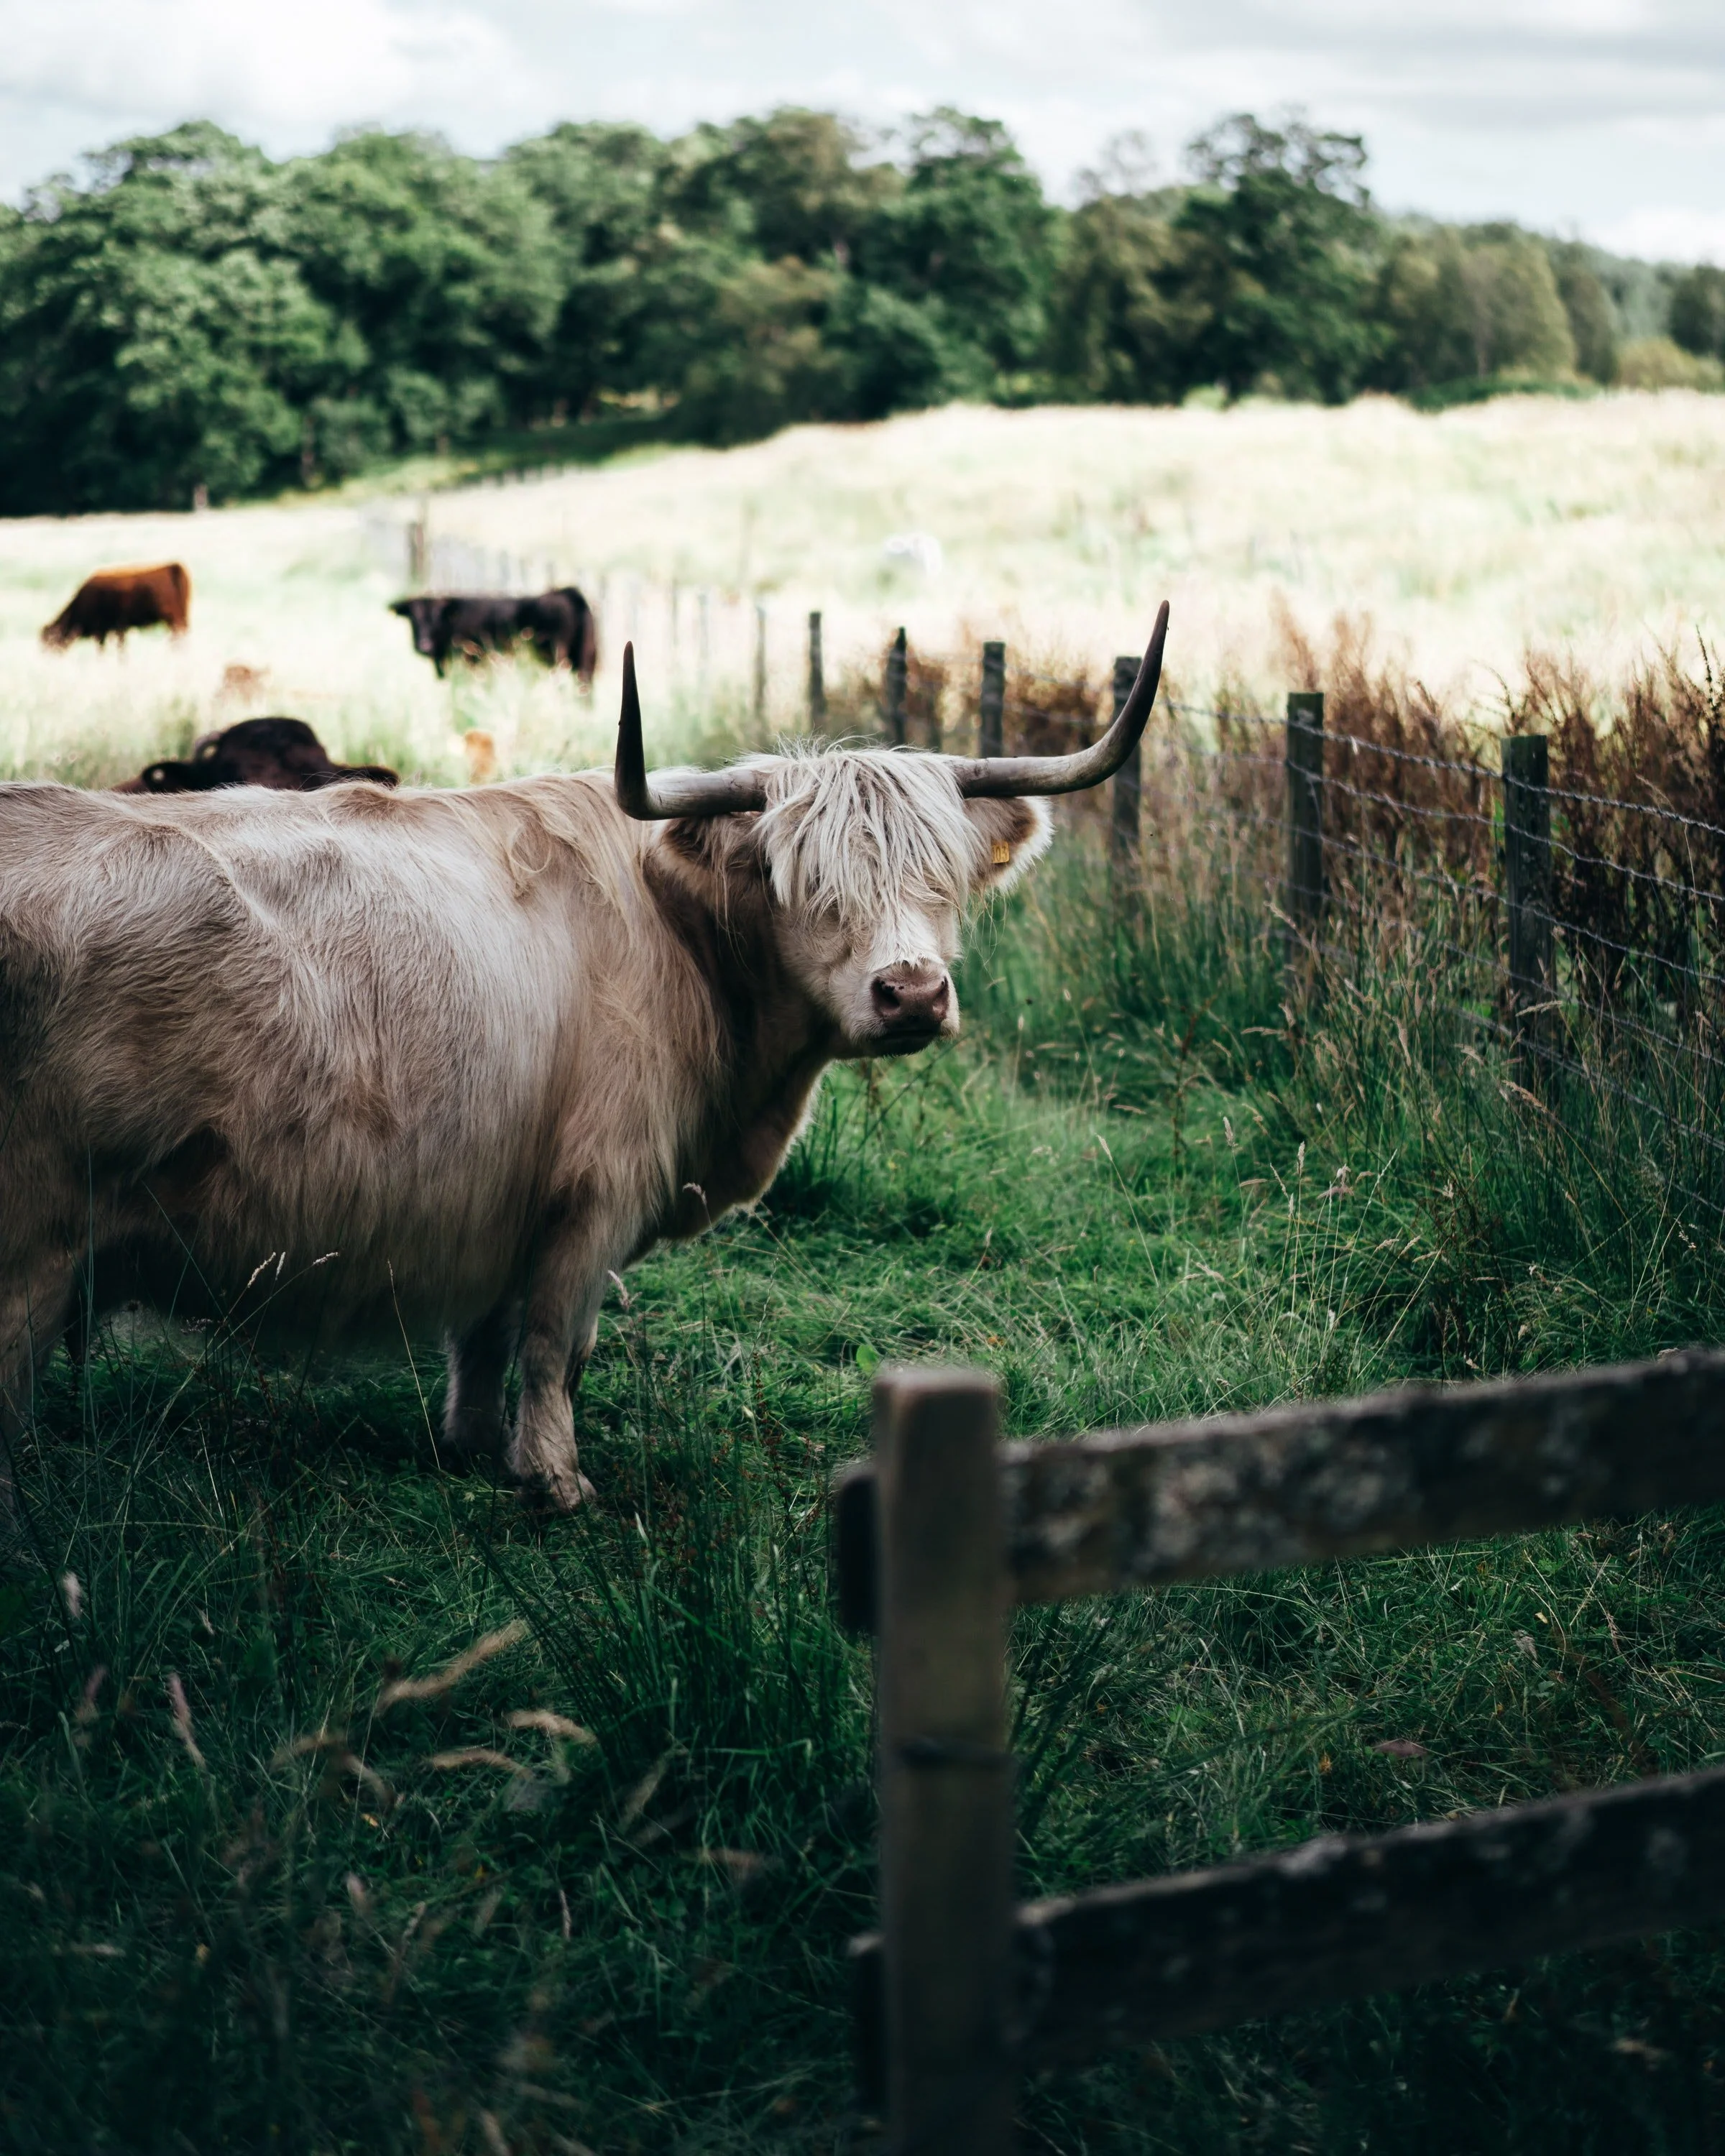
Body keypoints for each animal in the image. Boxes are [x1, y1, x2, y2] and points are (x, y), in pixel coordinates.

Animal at [391, 588, 598, 684]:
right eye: (413, 619)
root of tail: (565, 592)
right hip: (584, 662)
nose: (423, 645)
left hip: (557, 660)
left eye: (436, 618)